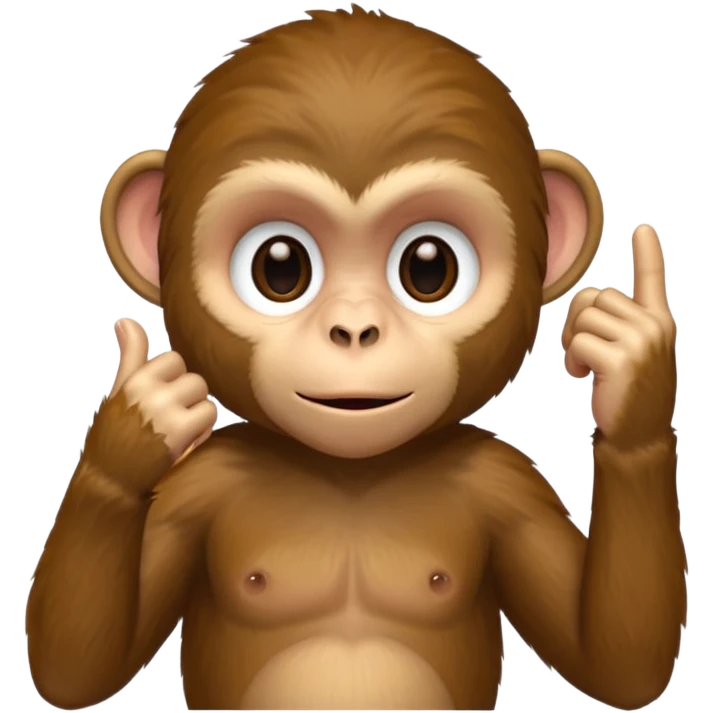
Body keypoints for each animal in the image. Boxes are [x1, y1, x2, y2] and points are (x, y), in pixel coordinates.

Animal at [25, 6, 685, 712]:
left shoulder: (510, 485)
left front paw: (632, 378)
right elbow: (78, 665)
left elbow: (613, 661)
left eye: (429, 267)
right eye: (279, 267)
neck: (350, 473)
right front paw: (135, 426)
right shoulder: (197, 485)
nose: (354, 330)